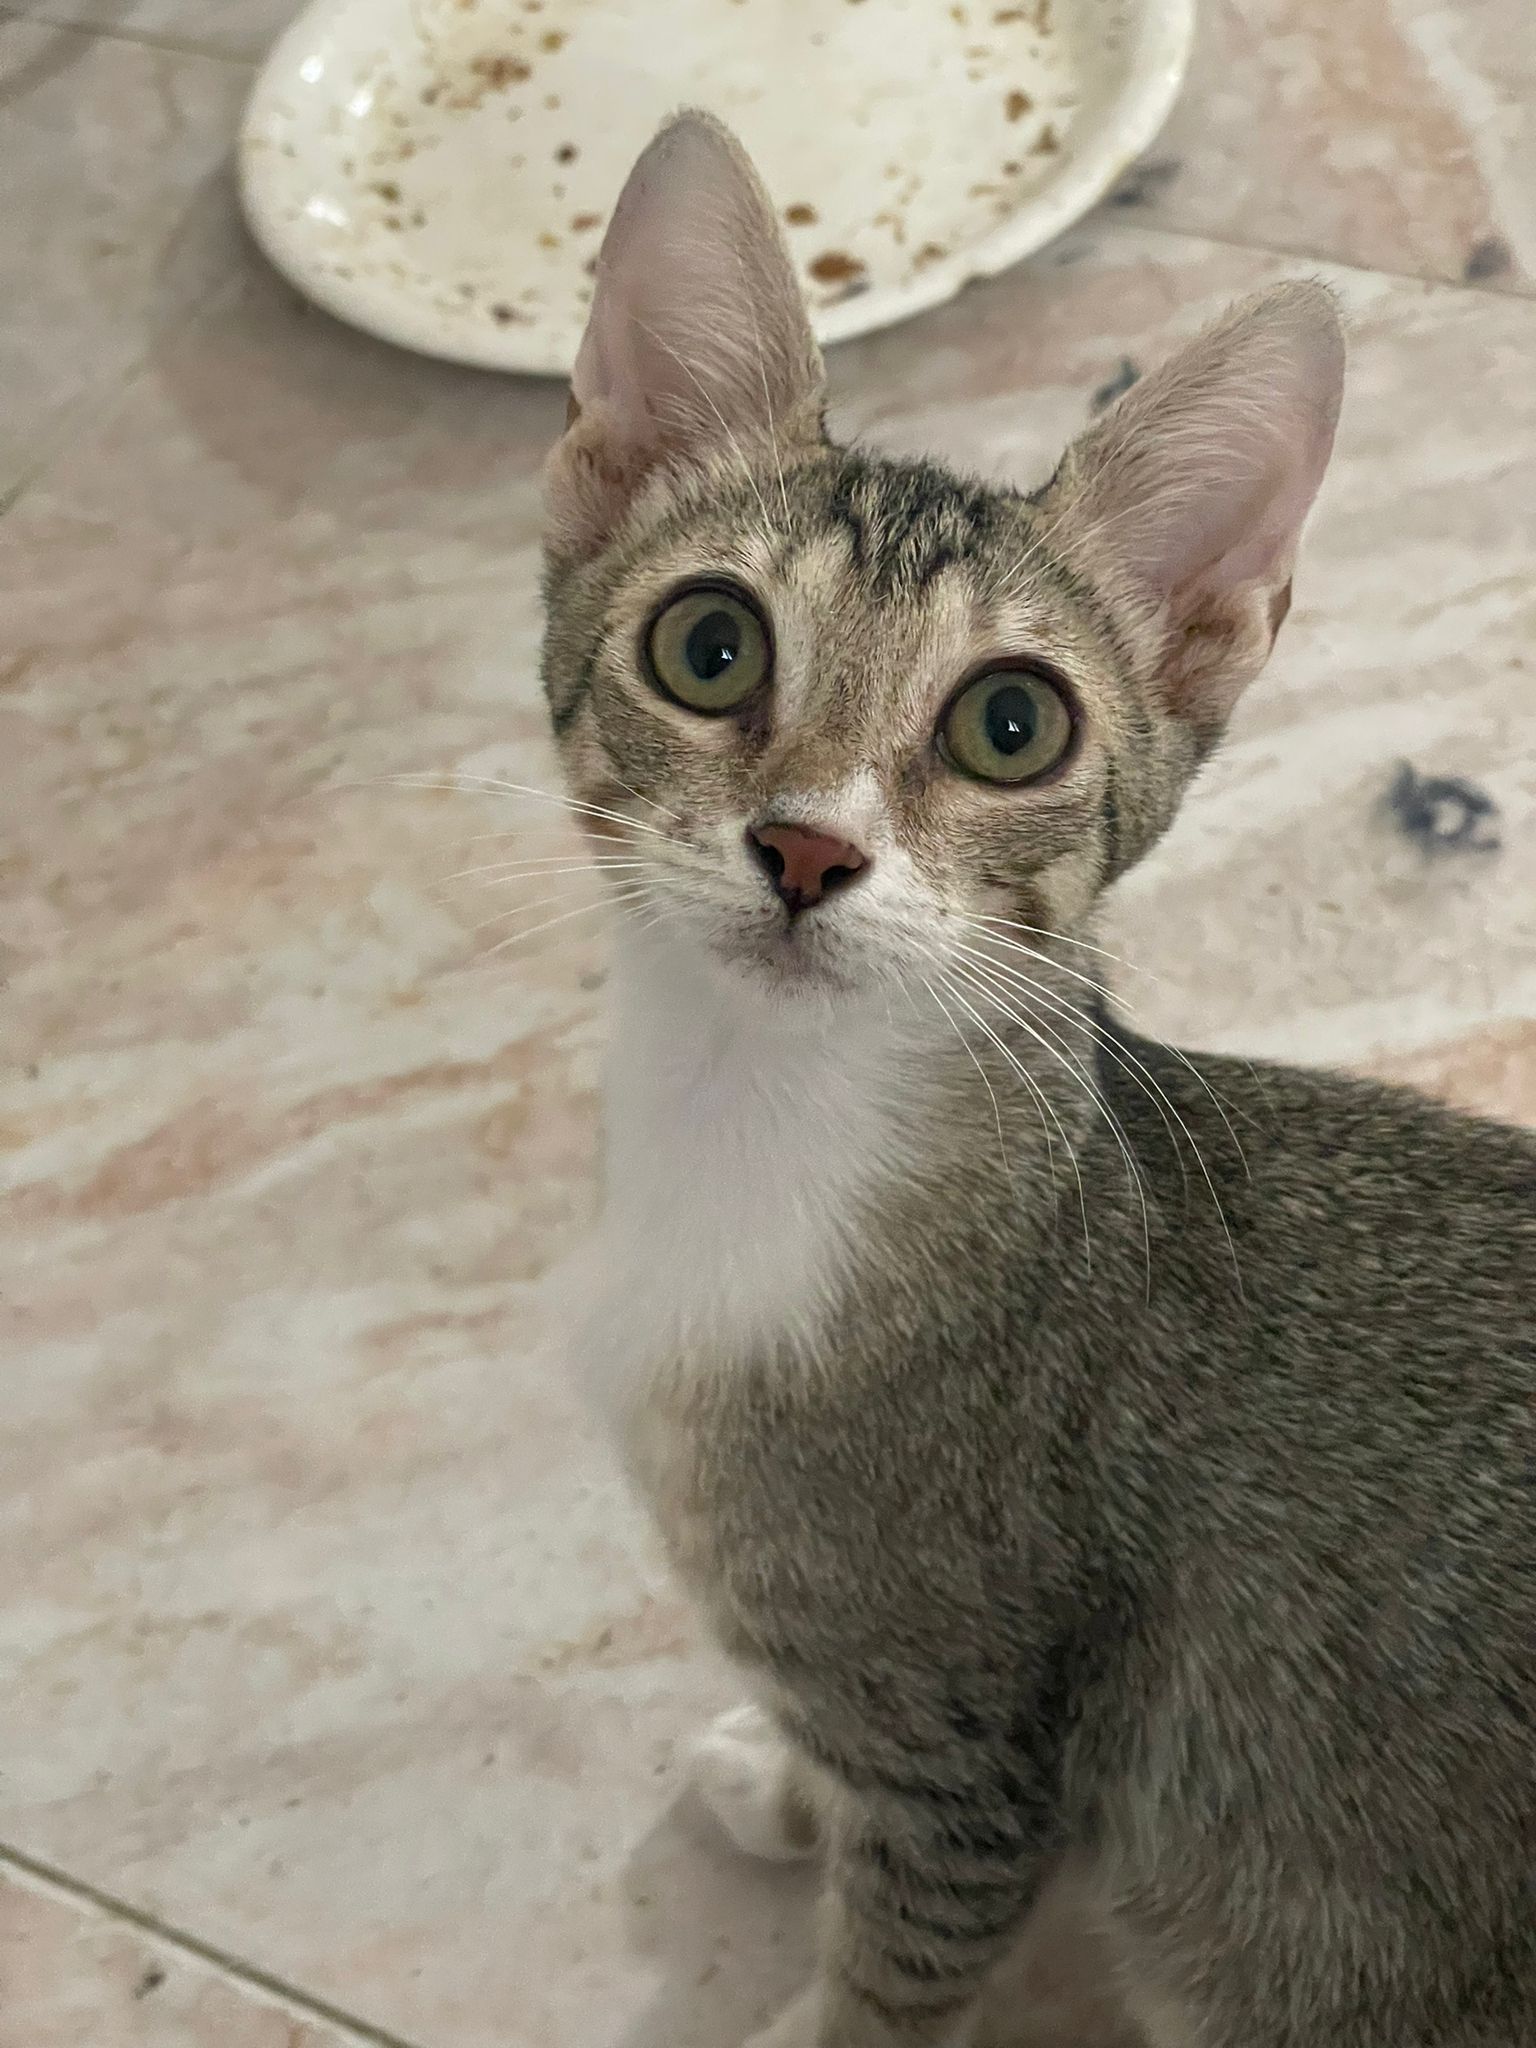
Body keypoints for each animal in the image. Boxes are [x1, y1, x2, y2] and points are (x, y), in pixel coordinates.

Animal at [539, 111, 1536, 2048]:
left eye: (1012, 726)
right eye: (708, 645)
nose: (804, 846)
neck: (754, 1138)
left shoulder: (970, 1748)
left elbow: (889, 1967)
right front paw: (784, 1780)